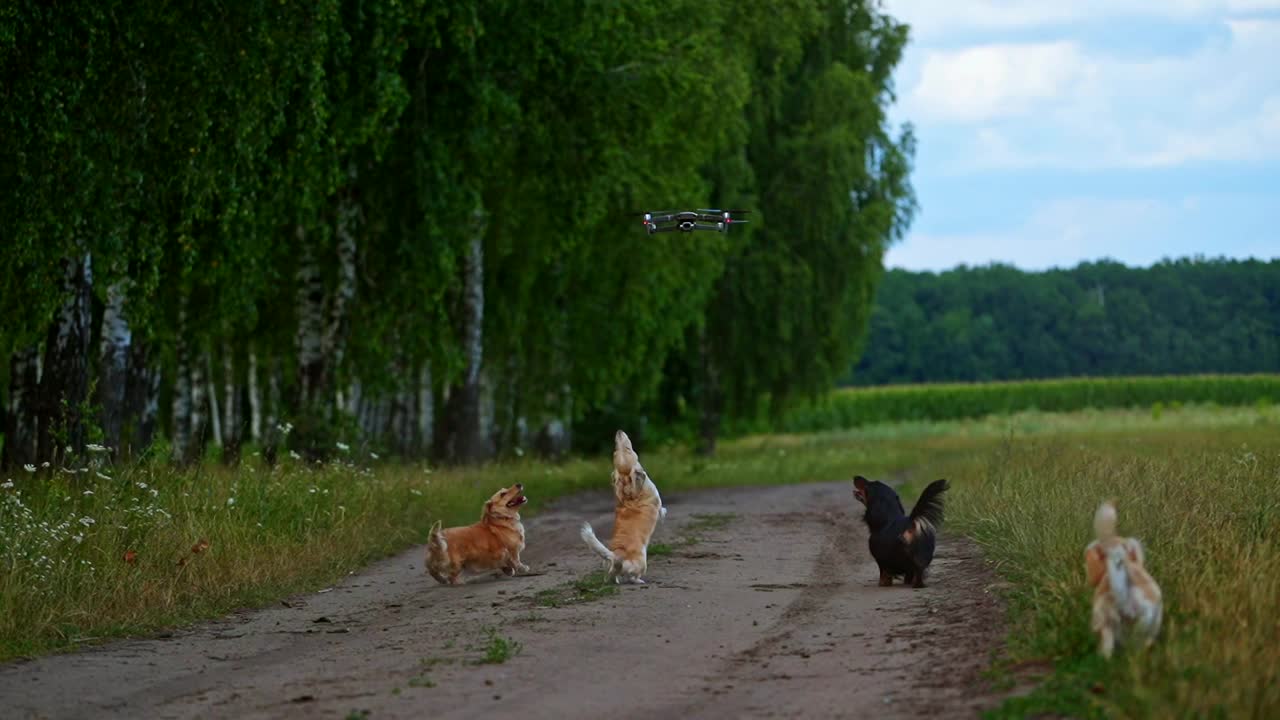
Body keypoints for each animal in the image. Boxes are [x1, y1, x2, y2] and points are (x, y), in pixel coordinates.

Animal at [578, 427, 665, 579]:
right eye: (629, 449)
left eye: (615, 451)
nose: (618, 431)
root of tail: (616, 556)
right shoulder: (658, 502)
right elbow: (662, 509)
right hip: (642, 564)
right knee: (634, 576)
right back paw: (638, 580)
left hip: (610, 568)